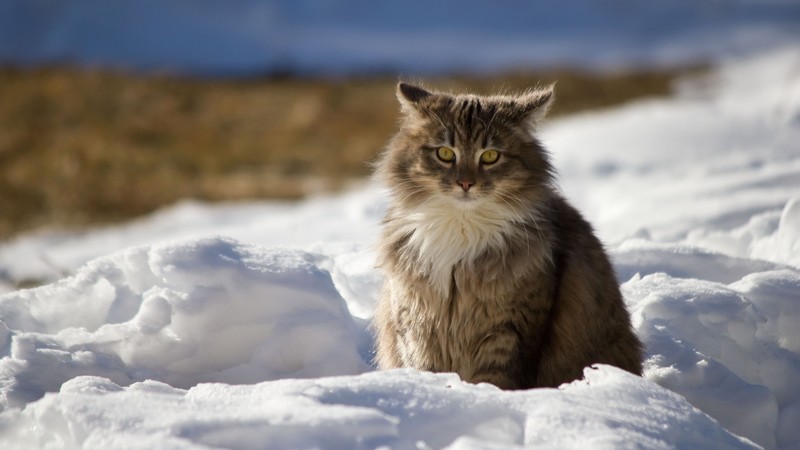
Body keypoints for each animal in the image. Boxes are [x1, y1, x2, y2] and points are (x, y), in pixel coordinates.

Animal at [374, 81, 644, 390]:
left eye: (490, 156)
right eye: (445, 154)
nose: (465, 183)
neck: (461, 226)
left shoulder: (510, 329)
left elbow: (496, 380)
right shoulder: (416, 324)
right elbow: (425, 369)